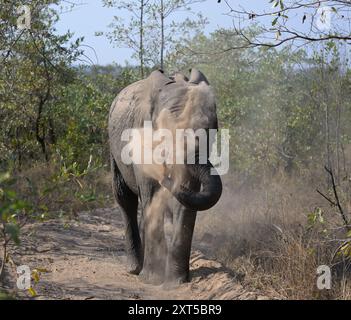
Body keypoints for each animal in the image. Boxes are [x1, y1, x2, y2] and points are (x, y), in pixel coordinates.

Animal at [108, 68, 223, 288]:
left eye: (212, 131)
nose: (165, 177)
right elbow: (150, 193)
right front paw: (152, 279)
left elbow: (187, 198)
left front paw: (176, 282)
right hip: (112, 145)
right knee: (125, 198)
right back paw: (135, 268)